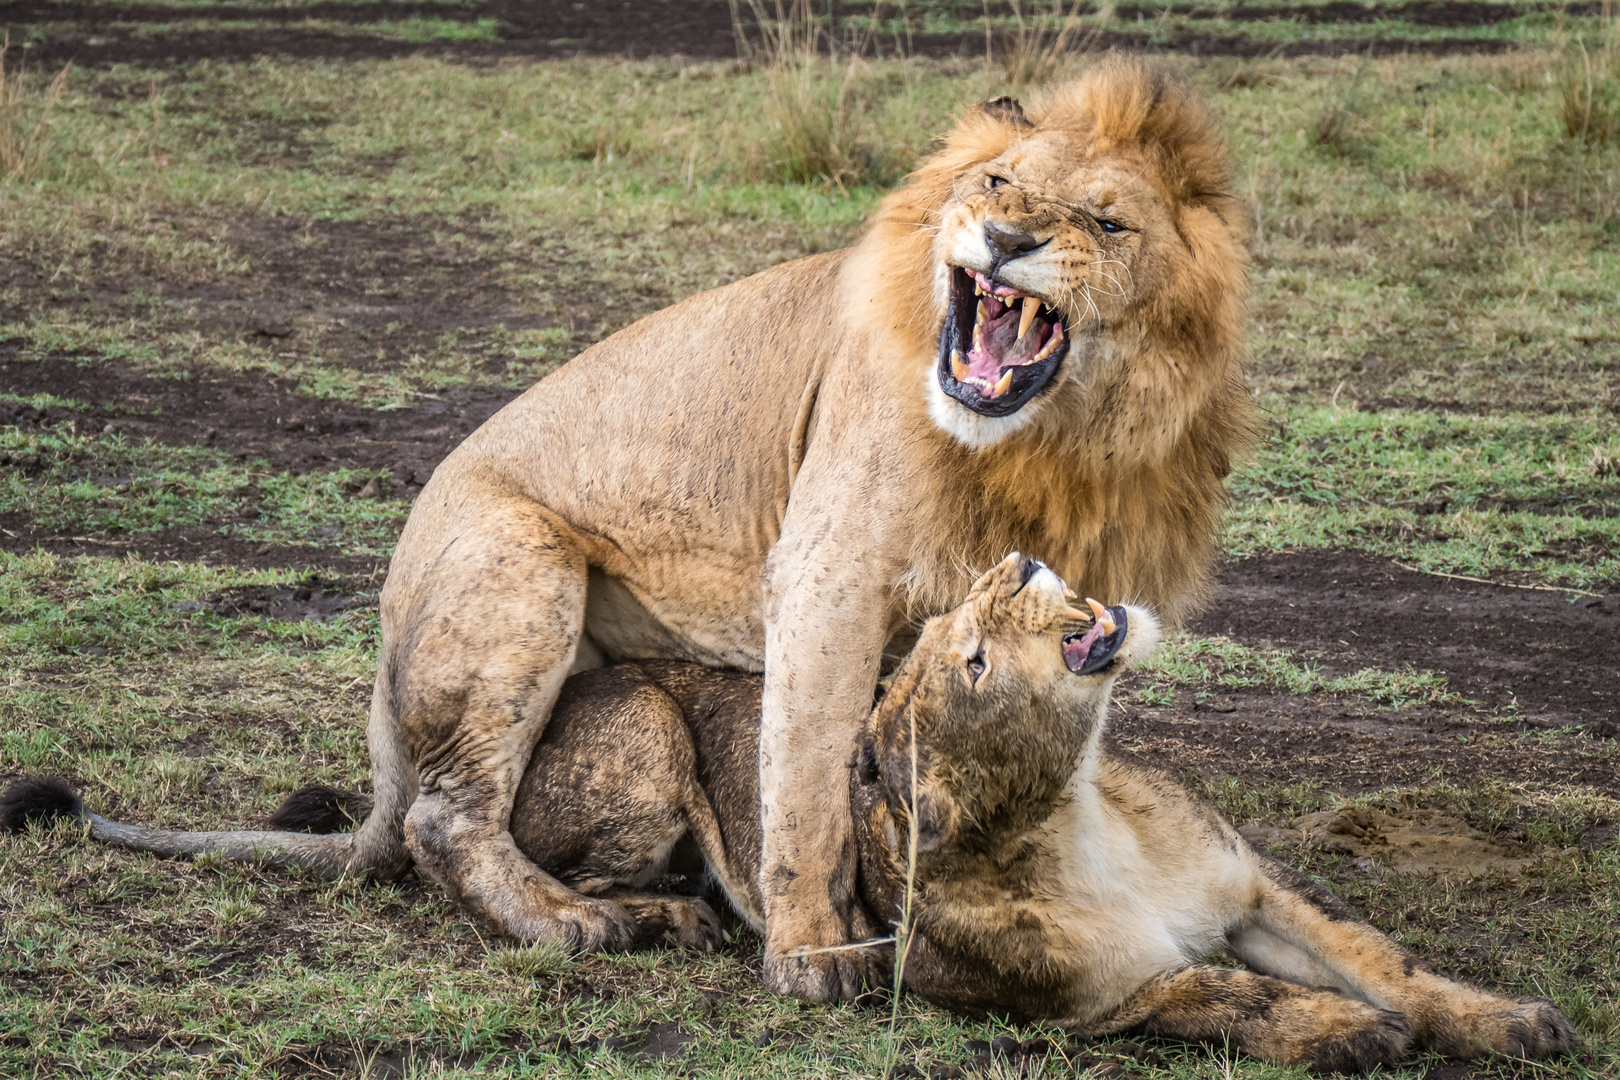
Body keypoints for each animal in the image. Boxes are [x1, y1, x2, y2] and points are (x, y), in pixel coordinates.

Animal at [6, 557, 1574, 1075]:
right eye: (968, 654)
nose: (1021, 560)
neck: (1073, 809)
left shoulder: (1251, 894)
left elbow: (1387, 958)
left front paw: (1504, 1018)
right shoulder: (1091, 1008)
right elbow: (1237, 1003)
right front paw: (1348, 1037)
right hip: (637, 733)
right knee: (484, 849)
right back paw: (635, 920)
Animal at [19, 61, 1250, 1003]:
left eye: (1106, 222)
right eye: (996, 182)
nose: (1001, 236)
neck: (1044, 442)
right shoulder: (825, 572)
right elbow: (808, 779)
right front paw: (814, 957)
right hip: (526, 562)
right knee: (444, 821)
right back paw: (591, 925)